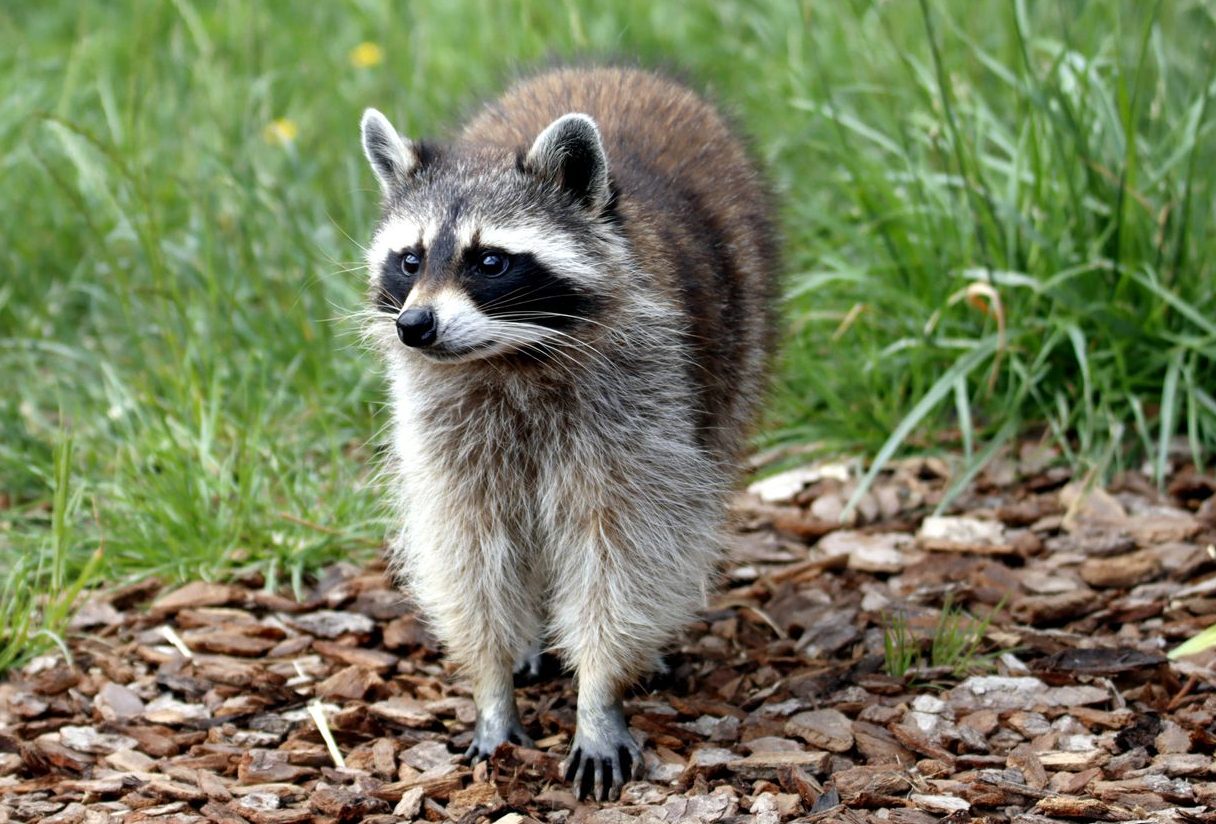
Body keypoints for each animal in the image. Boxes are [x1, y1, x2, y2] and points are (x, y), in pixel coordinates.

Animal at [358, 66, 778, 800]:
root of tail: (612, 67)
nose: (414, 326)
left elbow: (625, 550)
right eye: (409, 260)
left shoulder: (641, 405)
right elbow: (465, 550)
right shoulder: (445, 425)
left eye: (489, 262)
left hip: (734, 346)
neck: (507, 358)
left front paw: (599, 693)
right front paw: (491, 684)